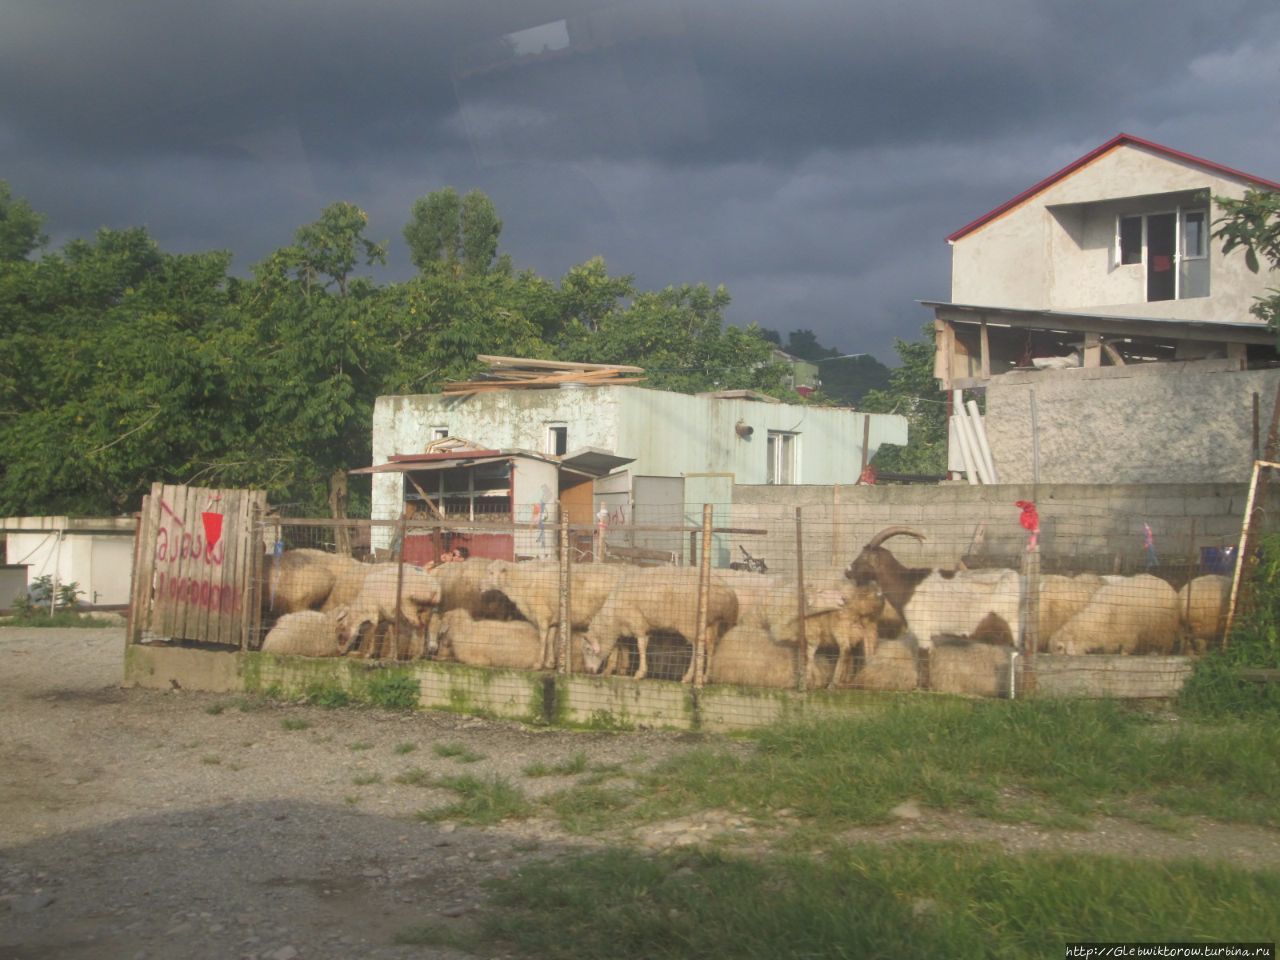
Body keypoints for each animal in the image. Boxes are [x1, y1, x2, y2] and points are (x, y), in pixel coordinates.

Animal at [583, 570, 742, 686]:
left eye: (588, 649)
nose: (589, 671)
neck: (612, 618)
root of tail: (727, 592)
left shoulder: (637, 623)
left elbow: (640, 646)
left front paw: (640, 673)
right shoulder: (627, 627)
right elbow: (619, 646)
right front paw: (608, 671)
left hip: (690, 622)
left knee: (697, 646)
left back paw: (688, 677)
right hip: (712, 622)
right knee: (710, 647)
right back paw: (705, 677)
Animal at [1049, 576, 1177, 660]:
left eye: (1060, 648)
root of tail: (1164, 582)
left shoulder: (1129, 636)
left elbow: (1125, 652)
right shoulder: (1109, 637)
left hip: (1165, 629)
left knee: (1167, 644)